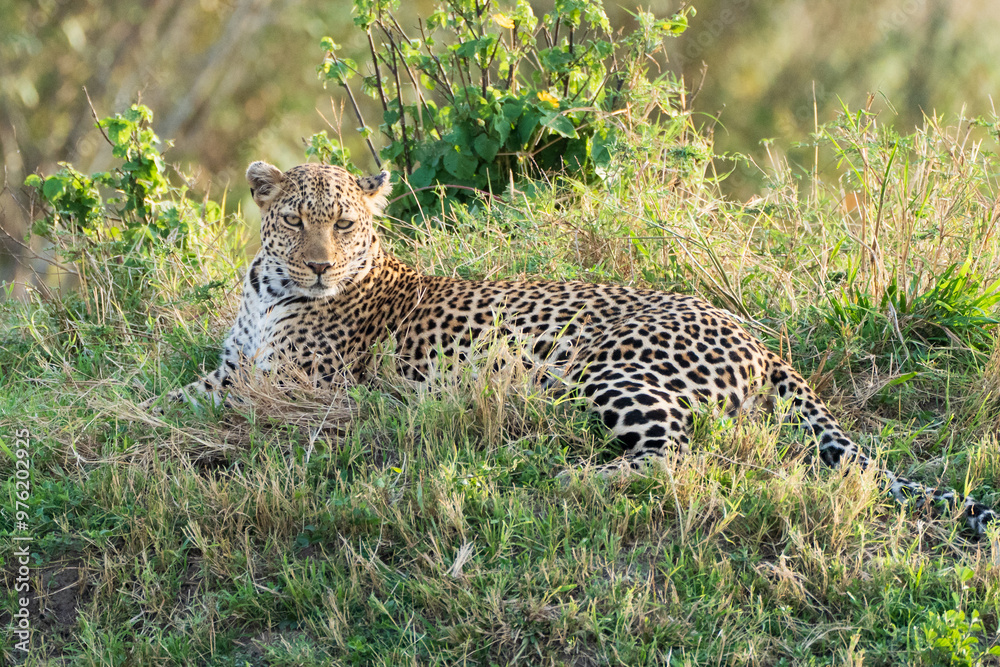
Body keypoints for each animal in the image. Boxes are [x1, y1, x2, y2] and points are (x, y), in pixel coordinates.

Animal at [144, 159, 997, 537]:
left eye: (346, 224)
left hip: (609, 369)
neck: (269, 290)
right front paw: (119, 414)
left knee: (677, 454)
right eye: (295, 218)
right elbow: (166, 397)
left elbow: (215, 409)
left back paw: (572, 479)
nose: (320, 264)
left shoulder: (303, 390)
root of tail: (754, 335)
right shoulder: (227, 374)